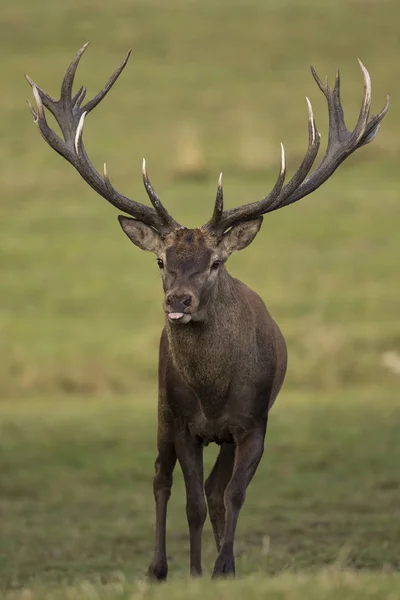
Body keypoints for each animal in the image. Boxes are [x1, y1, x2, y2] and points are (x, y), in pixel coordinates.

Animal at [25, 44, 388, 580]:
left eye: (216, 262)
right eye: (161, 260)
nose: (178, 301)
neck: (214, 394)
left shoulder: (253, 423)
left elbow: (232, 496)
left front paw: (224, 568)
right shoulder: (183, 422)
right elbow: (191, 500)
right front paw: (195, 572)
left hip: (228, 434)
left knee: (217, 490)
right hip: (161, 406)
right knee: (161, 476)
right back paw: (159, 568)